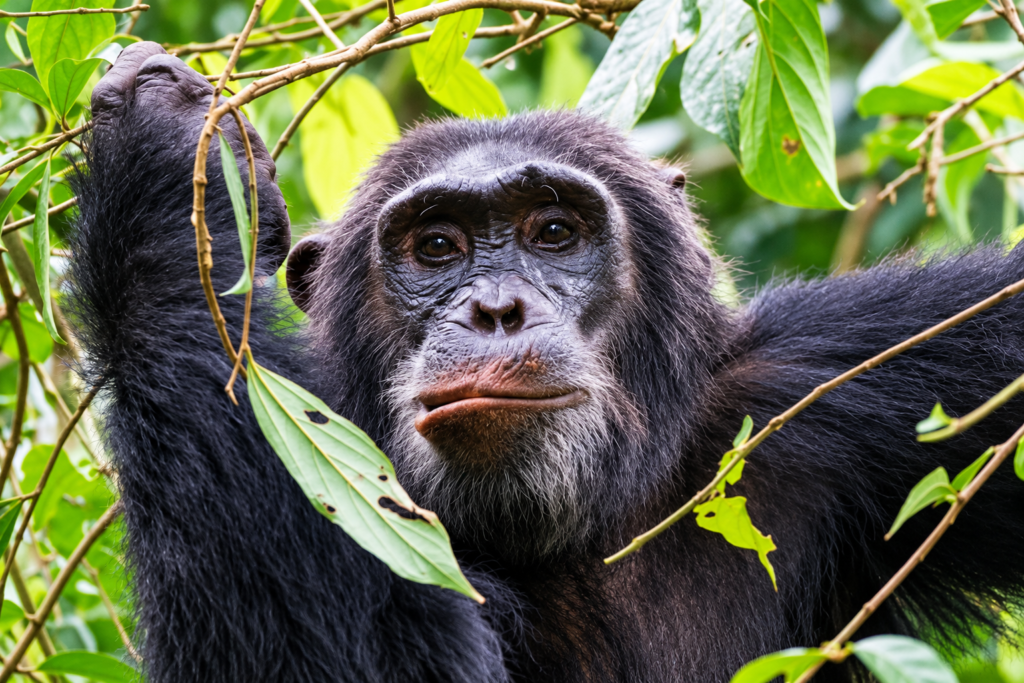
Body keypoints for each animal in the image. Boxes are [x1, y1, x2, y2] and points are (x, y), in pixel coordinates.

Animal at [65, 42, 1024, 683]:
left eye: (553, 231)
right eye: (437, 247)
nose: (496, 309)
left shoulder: (863, 369)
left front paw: (164, 149)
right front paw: (161, 165)